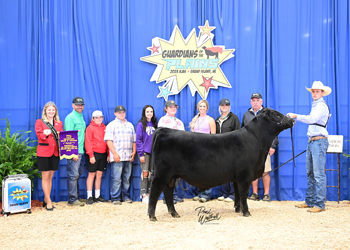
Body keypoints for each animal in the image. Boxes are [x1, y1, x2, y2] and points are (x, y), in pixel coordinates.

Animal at [148, 108, 296, 222]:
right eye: (277, 114)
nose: (292, 120)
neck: (256, 141)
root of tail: (163, 130)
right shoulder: (245, 176)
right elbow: (243, 194)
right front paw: (246, 212)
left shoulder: (237, 178)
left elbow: (237, 194)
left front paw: (238, 209)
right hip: (162, 174)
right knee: (155, 191)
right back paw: (152, 216)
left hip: (171, 176)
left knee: (168, 192)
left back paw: (174, 213)